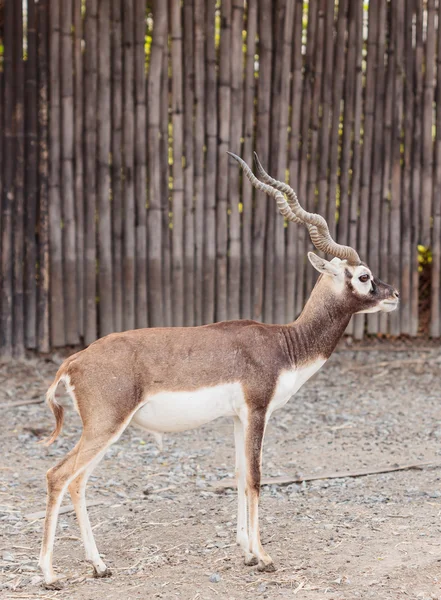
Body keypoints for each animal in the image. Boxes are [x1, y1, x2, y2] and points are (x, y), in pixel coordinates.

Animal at [38, 151, 398, 584]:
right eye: (363, 276)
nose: (394, 294)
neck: (283, 343)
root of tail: (75, 360)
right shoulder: (258, 411)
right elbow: (256, 478)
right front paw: (264, 557)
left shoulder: (238, 417)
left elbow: (240, 476)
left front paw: (246, 552)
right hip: (106, 426)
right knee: (59, 476)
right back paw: (49, 574)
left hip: (104, 430)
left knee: (77, 482)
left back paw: (99, 565)